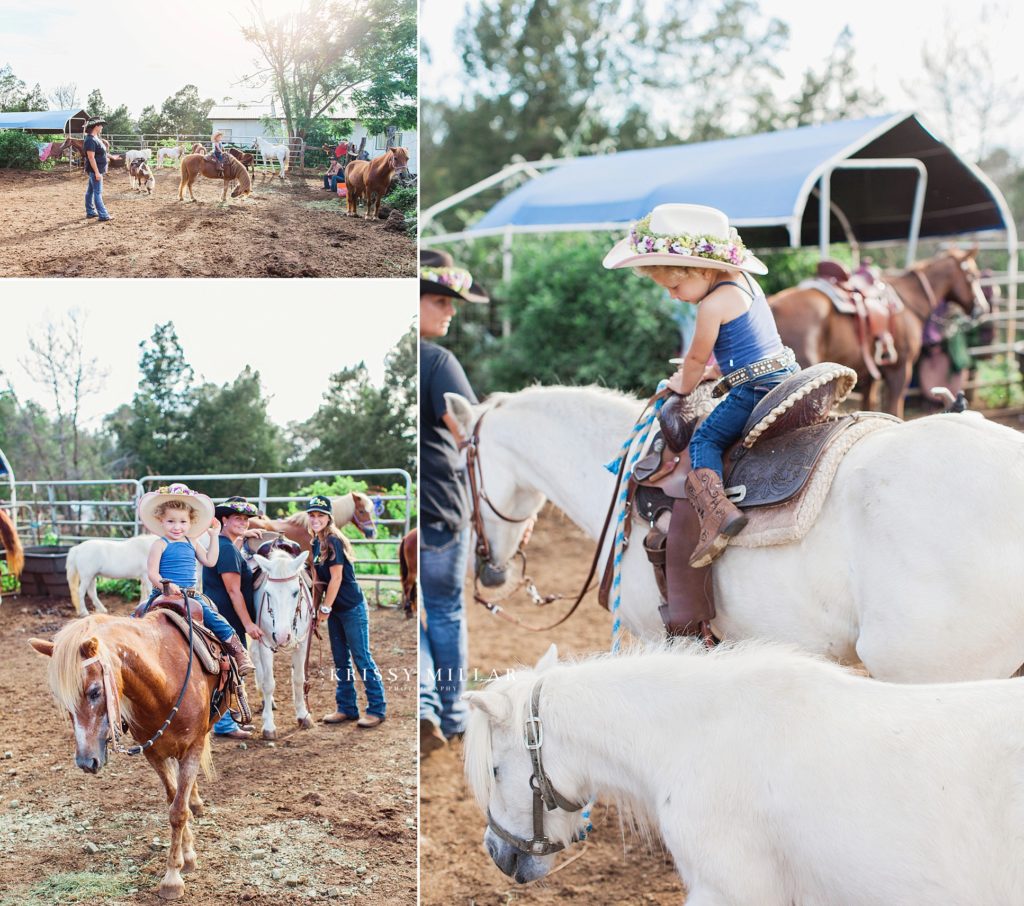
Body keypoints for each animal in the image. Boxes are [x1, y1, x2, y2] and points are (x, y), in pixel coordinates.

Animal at [31, 610, 220, 900]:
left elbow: (178, 811)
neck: (166, 680)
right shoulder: (153, 753)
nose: (86, 761)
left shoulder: (193, 747)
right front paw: (187, 855)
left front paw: (172, 878)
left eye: (95, 691)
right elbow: (174, 800)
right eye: (64, 702)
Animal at [248, 548, 309, 737]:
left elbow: (298, 679)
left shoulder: (302, 643)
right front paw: (268, 725)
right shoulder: (265, 643)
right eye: (268, 593)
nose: (282, 636)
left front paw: (303, 715)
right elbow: (269, 684)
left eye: (295, 592)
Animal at [770, 247, 987, 417]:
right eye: (974, 276)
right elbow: (894, 408)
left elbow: (871, 405)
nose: (982, 308)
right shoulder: (900, 369)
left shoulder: (871, 376)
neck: (908, 300)